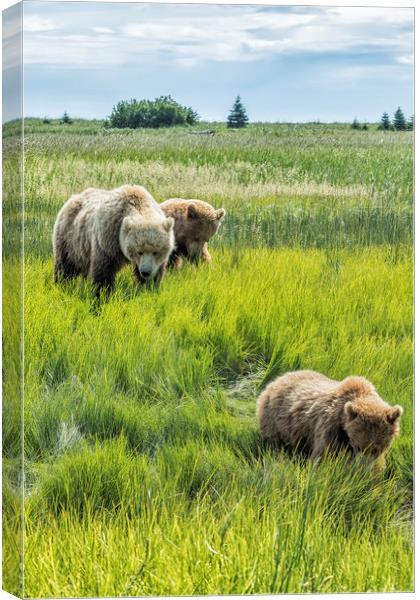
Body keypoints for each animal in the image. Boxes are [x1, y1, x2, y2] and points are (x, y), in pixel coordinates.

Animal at [258, 370, 402, 464]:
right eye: (358, 446)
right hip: (274, 420)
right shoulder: (330, 428)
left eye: (376, 449)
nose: (364, 466)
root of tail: (276, 380)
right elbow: (324, 456)